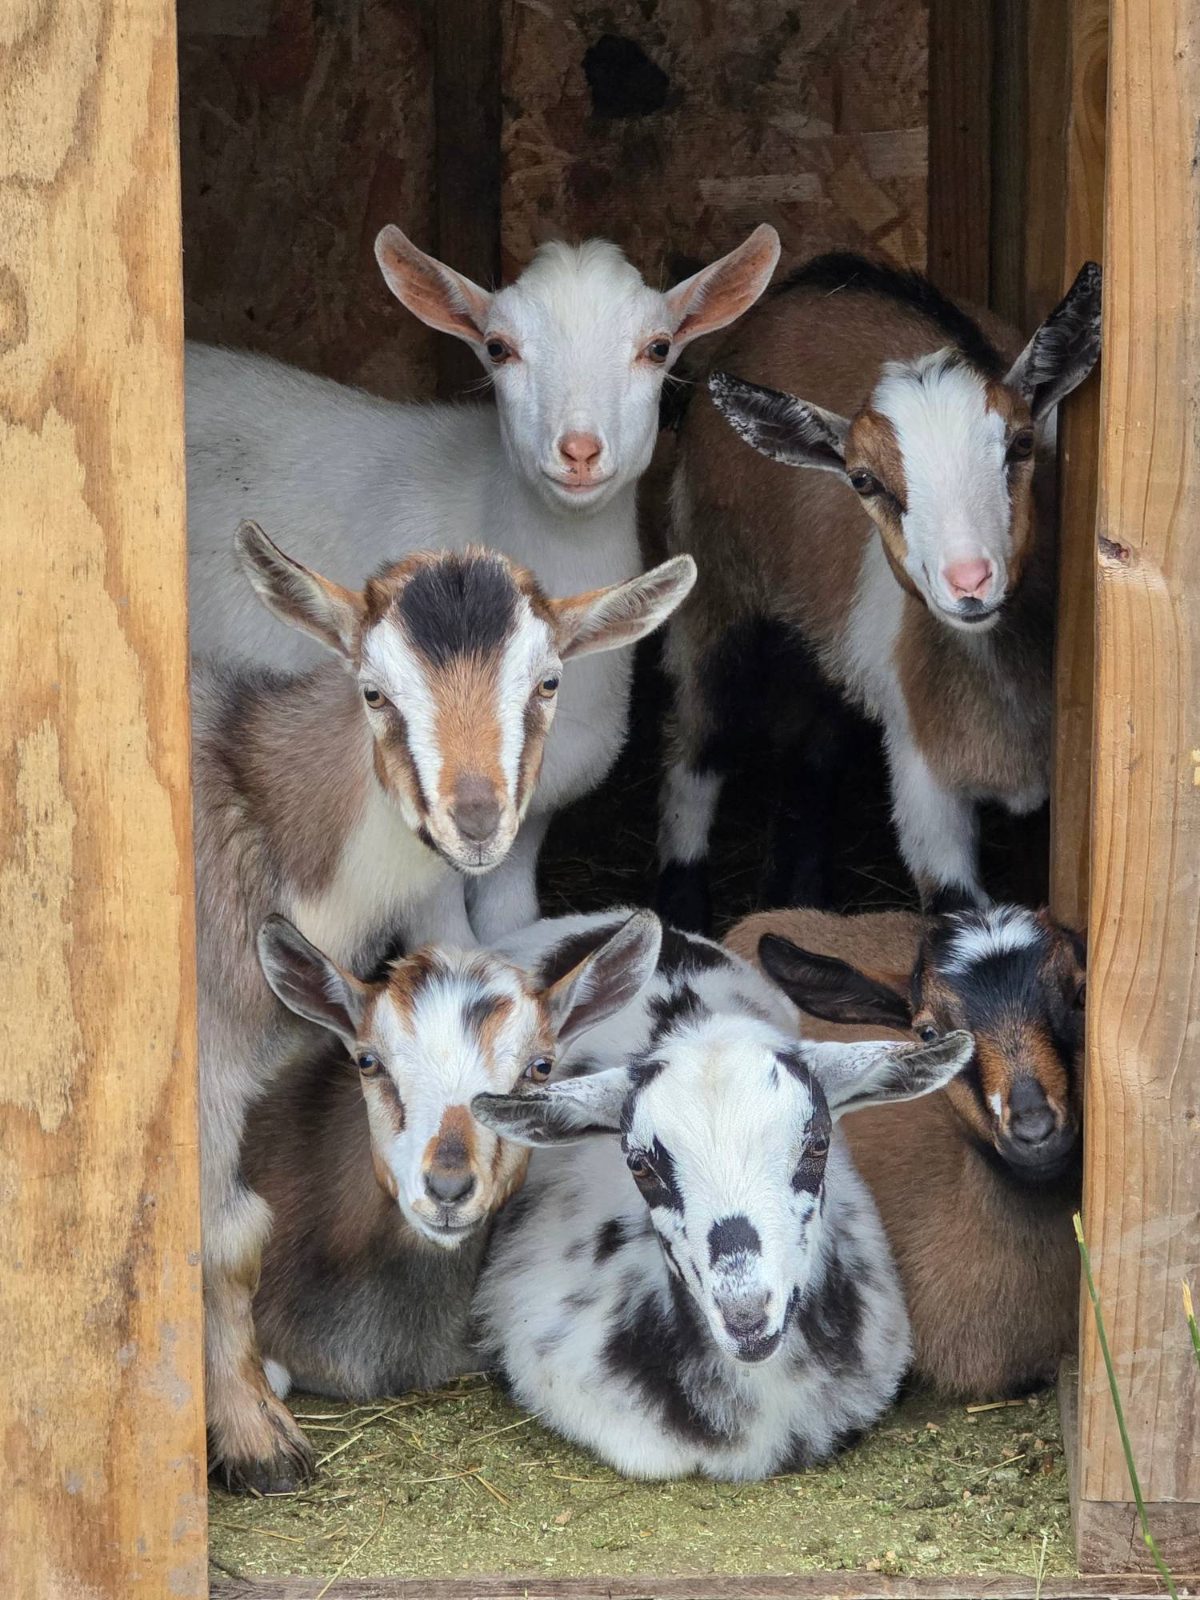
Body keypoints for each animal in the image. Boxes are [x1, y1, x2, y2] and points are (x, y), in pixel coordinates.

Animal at [187, 223, 779, 944]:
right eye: (499, 348)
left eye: (658, 347)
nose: (579, 450)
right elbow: (450, 943)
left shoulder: (531, 813)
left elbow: (510, 926)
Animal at [656, 254, 1101, 929]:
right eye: (863, 480)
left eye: (1022, 443)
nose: (969, 581)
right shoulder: (922, 772)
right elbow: (950, 906)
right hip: (718, 596)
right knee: (700, 744)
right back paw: (682, 909)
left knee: (813, 748)